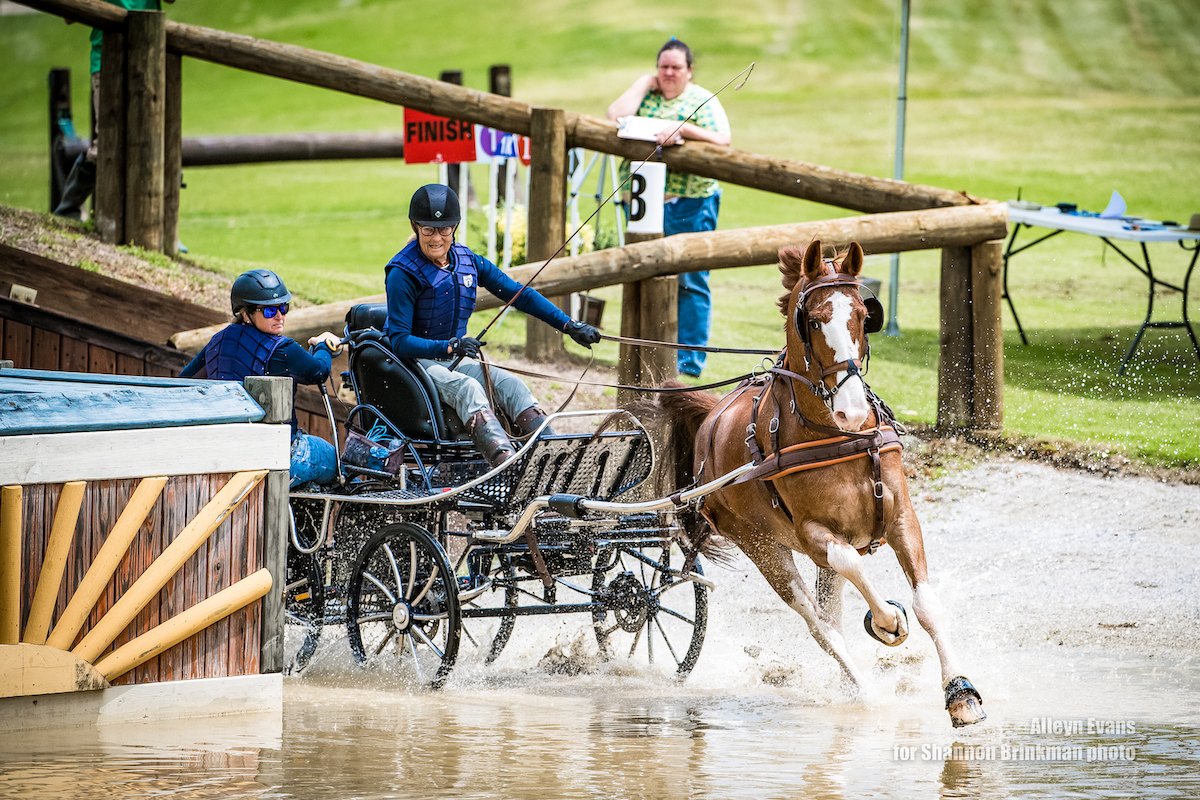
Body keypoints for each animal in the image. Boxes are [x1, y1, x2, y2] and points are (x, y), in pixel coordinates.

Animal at [662, 241, 988, 729]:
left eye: (863, 314)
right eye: (814, 320)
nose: (852, 410)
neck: (835, 437)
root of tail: (709, 421)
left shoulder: (901, 517)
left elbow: (927, 605)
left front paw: (960, 692)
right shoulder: (815, 536)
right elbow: (852, 568)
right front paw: (887, 621)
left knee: (830, 617)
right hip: (762, 547)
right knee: (820, 625)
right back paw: (866, 693)